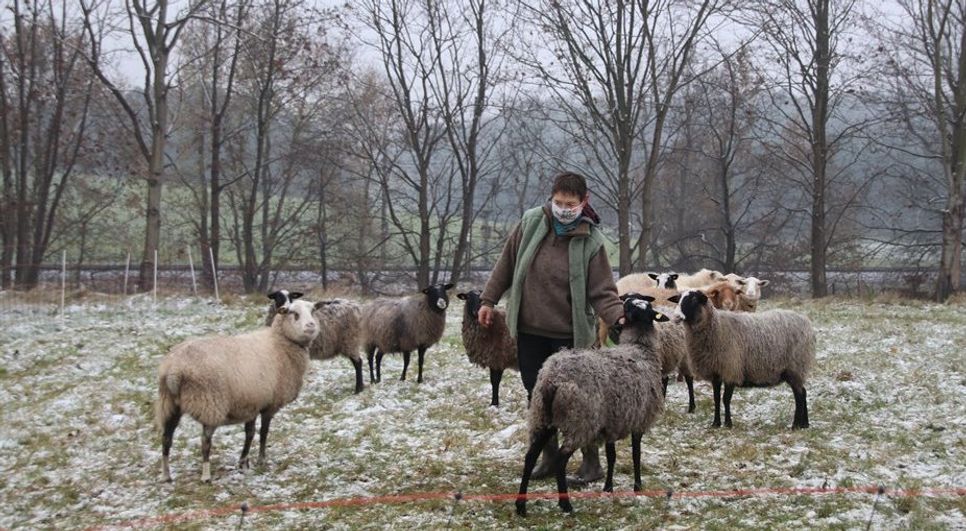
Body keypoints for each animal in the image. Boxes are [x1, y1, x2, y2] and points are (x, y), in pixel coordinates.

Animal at [155, 300, 320, 482]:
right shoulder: (269, 404)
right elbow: (263, 433)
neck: (280, 342)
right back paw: (206, 476)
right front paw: (261, 460)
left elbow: (250, 433)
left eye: (313, 311)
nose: (311, 326)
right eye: (294, 313)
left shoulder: (252, 403)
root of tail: (174, 370)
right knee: (205, 441)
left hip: (169, 404)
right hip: (211, 404)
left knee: (166, 438)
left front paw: (243, 463)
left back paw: (166, 475)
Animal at [520, 296, 668, 516]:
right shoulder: (638, 420)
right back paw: (565, 505)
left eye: (642, 306)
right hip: (579, 421)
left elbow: (612, 456)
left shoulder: (613, 422)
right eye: (631, 306)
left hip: (543, 417)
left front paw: (608, 488)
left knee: (530, 457)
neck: (640, 348)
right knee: (560, 461)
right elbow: (636, 454)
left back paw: (520, 506)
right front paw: (637, 487)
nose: (627, 299)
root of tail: (552, 379)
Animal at [672, 288, 816, 430]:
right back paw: (805, 424)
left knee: (799, 394)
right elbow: (716, 398)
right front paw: (716, 423)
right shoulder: (716, 372)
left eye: (694, 299)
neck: (717, 326)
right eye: (678, 299)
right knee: (803, 392)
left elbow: (726, 399)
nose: (676, 317)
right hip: (795, 369)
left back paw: (796, 425)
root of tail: (806, 322)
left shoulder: (731, 369)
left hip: (796, 366)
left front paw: (728, 424)